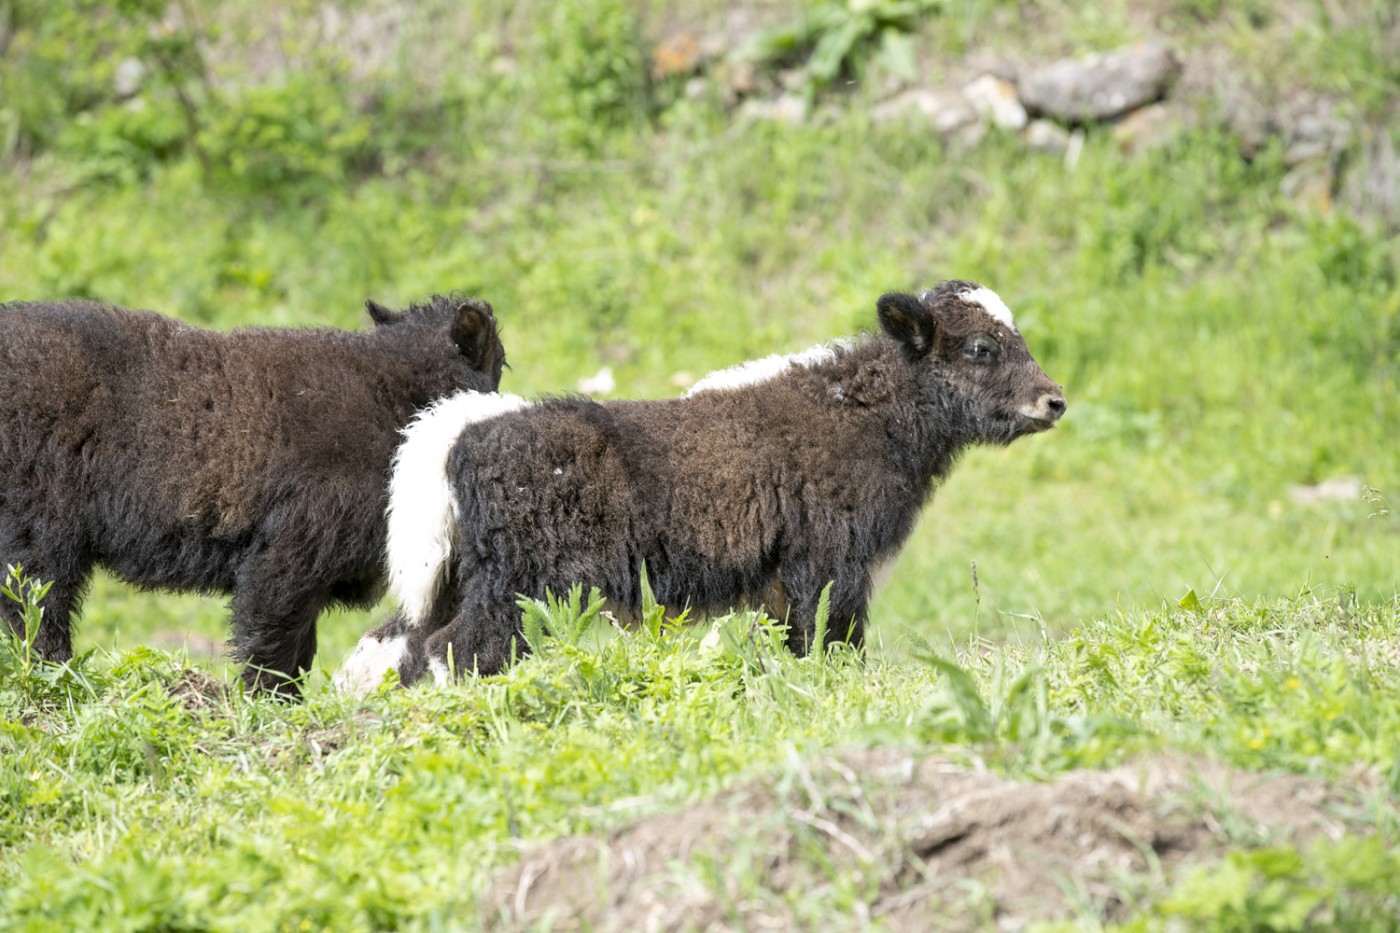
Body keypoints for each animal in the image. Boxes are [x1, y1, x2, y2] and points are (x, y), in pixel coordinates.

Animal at [0, 294, 504, 694]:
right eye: (499, 362)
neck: (395, 396)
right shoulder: (290, 553)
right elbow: (272, 644)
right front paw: (266, 704)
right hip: (37, 523)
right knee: (35, 609)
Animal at [336, 277, 1058, 689]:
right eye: (981, 349)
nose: (1054, 402)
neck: (860, 411)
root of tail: (456, 432)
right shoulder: (829, 563)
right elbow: (832, 643)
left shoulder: (783, 581)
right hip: (520, 588)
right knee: (452, 650)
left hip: (460, 579)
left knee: (396, 646)